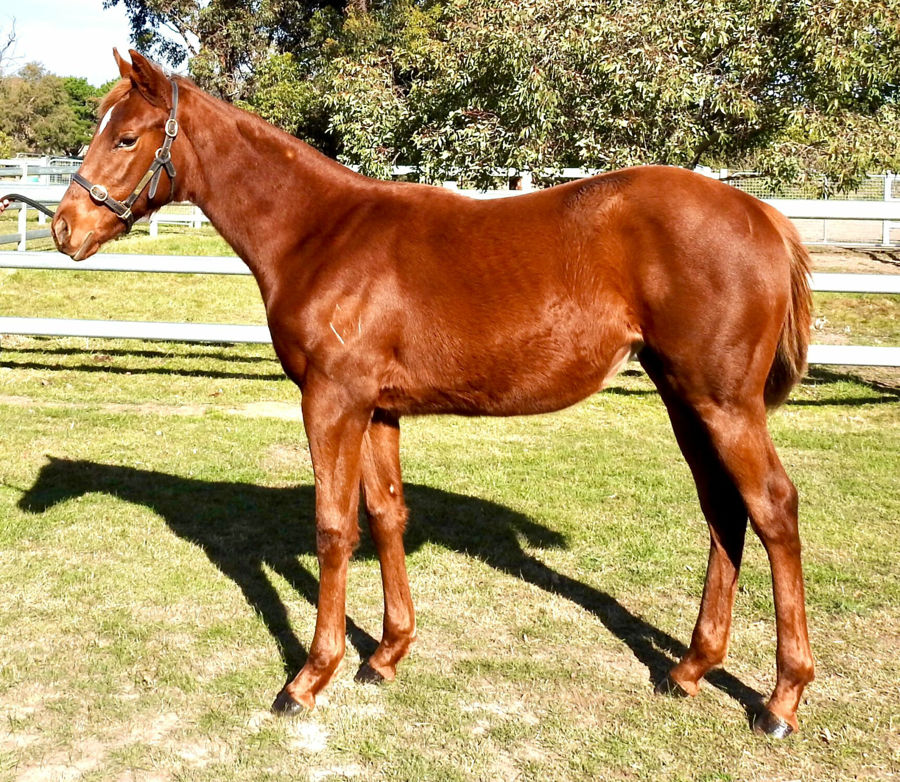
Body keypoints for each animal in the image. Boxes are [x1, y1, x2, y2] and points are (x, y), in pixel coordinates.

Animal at [50, 49, 814, 737]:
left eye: (126, 136)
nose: (64, 227)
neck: (319, 236)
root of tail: (763, 215)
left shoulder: (331, 402)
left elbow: (333, 528)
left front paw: (309, 679)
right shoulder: (378, 409)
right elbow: (387, 514)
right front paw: (386, 656)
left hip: (723, 404)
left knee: (772, 508)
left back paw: (780, 701)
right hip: (685, 399)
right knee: (724, 512)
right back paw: (689, 669)